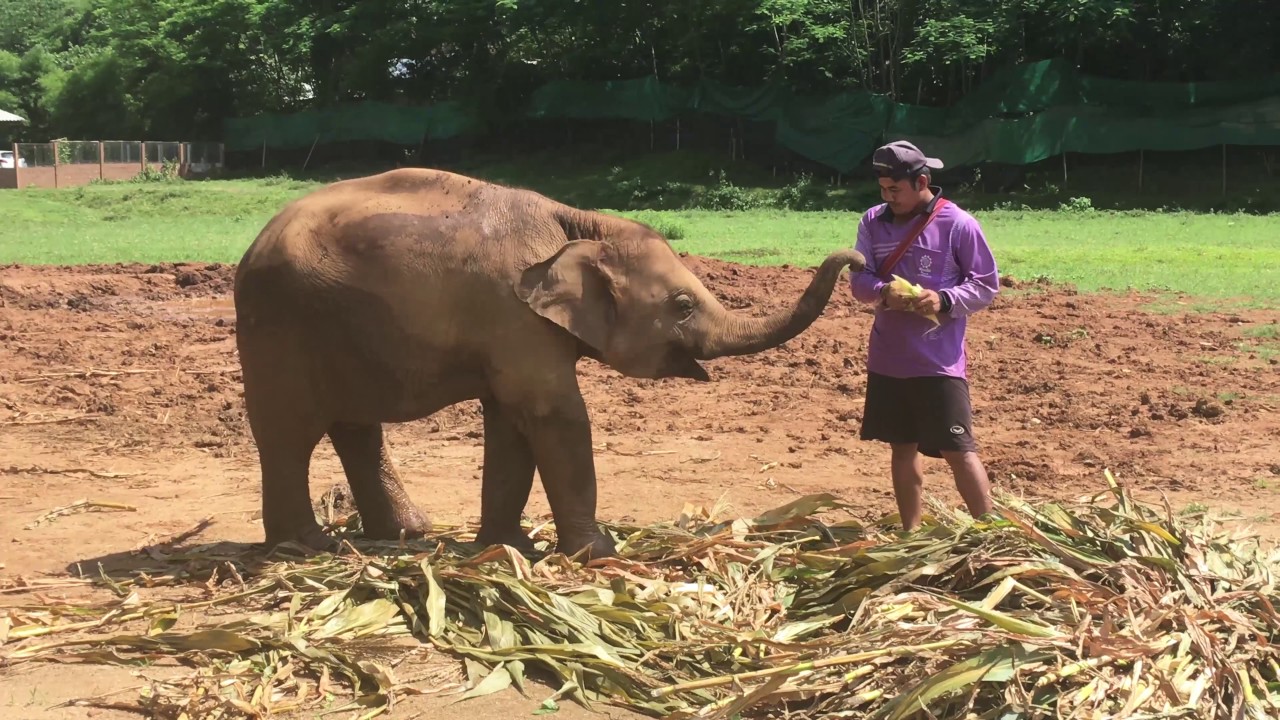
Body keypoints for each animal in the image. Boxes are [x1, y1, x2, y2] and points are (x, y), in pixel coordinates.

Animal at [232, 167, 865, 560]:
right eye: (682, 305)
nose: (858, 258)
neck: (580, 223)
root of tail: (253, 245)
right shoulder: (513, 316)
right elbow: (554, 414)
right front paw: (599, 554)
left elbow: (510, 423)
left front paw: (509, 547)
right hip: (277, 327)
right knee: (289, 434)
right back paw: (306, 547)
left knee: (355, 429)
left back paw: (408, 533)